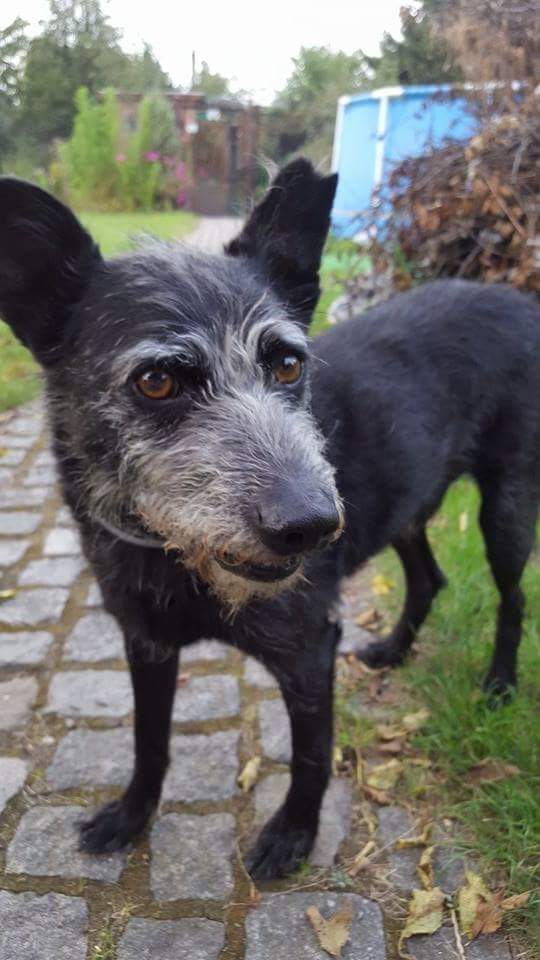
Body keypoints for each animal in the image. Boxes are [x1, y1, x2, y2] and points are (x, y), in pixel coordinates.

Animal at [1, 160, 539, 883]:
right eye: (156, 382)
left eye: (288, 364)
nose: (311, 524)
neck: (173, 558)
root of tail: (520, 301)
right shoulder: (146, 643)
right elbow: (148, 740)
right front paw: (132, 814)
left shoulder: (310, 651)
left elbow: (310, 757)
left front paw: (294, 834)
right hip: (408, 510)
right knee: (429, 579)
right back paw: (394, 650)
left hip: (505, 509)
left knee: (512, 599)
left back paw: (500, 684)